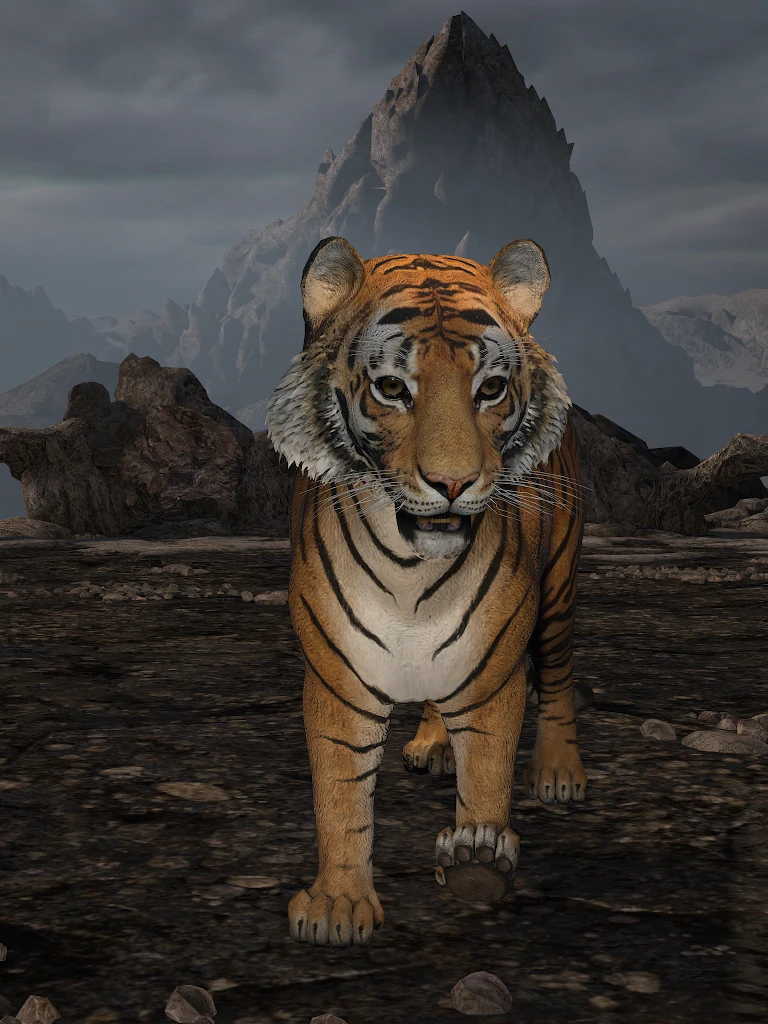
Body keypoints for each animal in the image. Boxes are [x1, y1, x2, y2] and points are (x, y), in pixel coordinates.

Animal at [266, 235, 588, 948]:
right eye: (392, 388)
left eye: (490, 389)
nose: (453, 483)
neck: (413, 576)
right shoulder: (338, 678)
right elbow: (341, 796)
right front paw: (338, 907)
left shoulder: (494, 672)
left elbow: (489, 770)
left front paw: (477, 858)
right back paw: (433, 744)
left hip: (558, 587)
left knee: (557, 674)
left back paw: (558, 774)